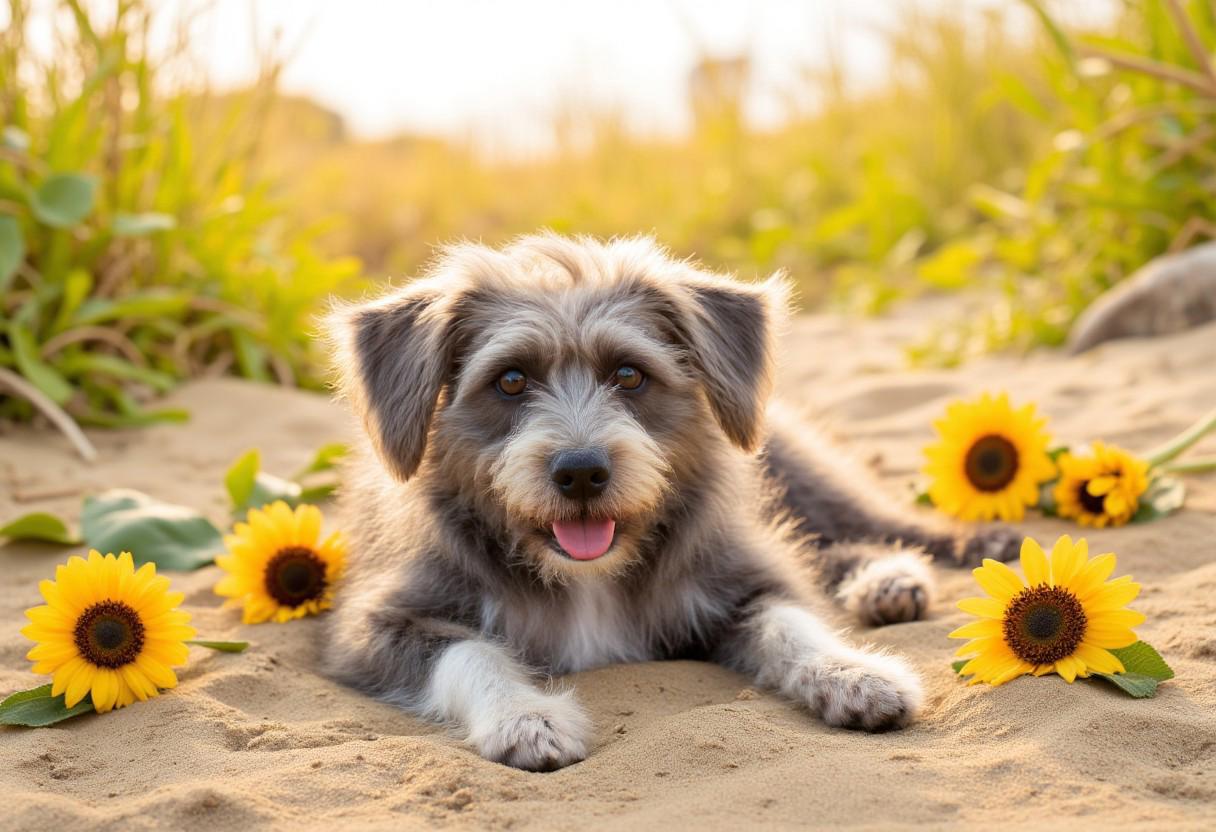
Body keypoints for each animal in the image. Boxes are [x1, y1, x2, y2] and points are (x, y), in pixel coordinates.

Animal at [321, 231, 1016, 768]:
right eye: (511, 381)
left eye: (630, 374)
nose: (581, 472)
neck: (590, 576)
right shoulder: (370, 626)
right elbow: (468, 651)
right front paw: (524, 715)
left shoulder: (737, 575)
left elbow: (792, 621)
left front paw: (851, 671)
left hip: (799, 468)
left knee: (865, 522)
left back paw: (923, 562)